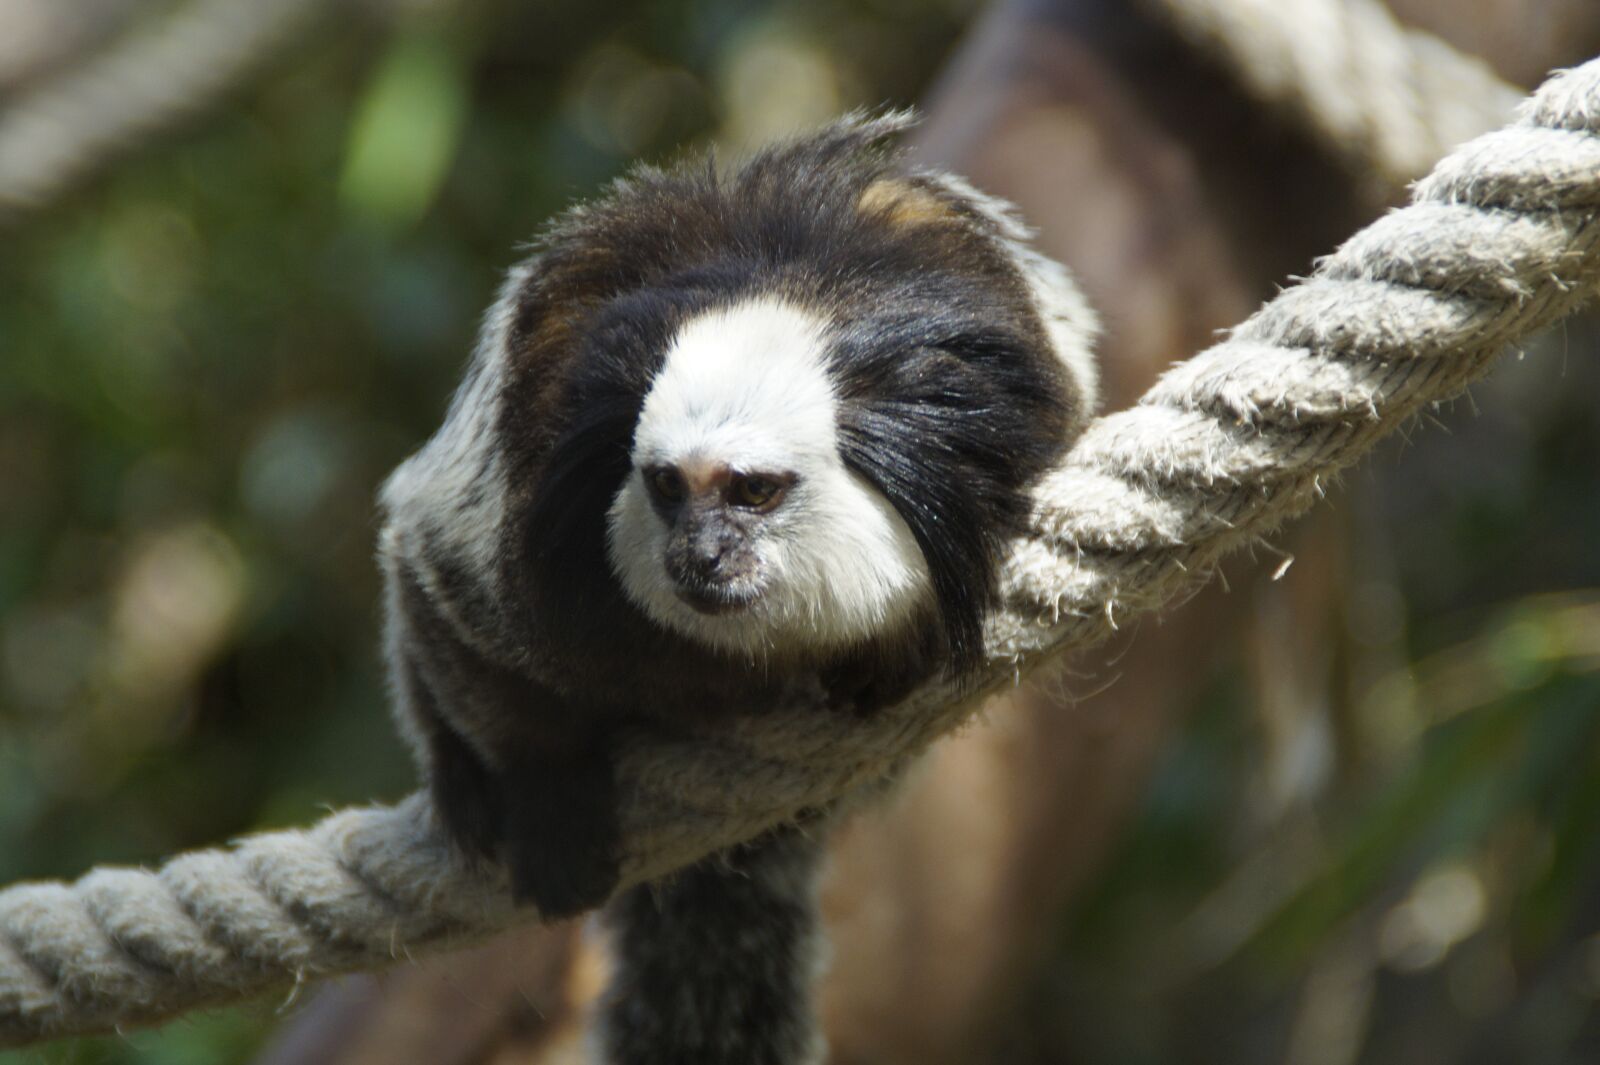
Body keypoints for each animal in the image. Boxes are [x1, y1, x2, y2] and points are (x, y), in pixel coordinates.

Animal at [378, 111, 1097, 1064]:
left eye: (751, 491)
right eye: (669, 488)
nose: (702, 554)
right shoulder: (520, 541)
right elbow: (440, 592)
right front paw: (545, 791)